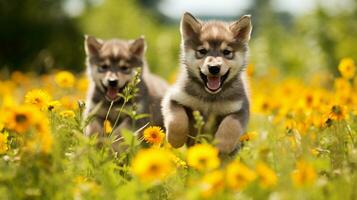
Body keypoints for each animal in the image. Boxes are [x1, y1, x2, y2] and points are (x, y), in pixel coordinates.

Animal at [161, 12, 250, 153]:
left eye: (226, 52)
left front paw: (222, 146)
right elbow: (177, 120)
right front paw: (176, 140)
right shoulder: (174, 98)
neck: (210, 98)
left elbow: (231, 125)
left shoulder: (240, 109)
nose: (214, 68)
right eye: (202, 51)